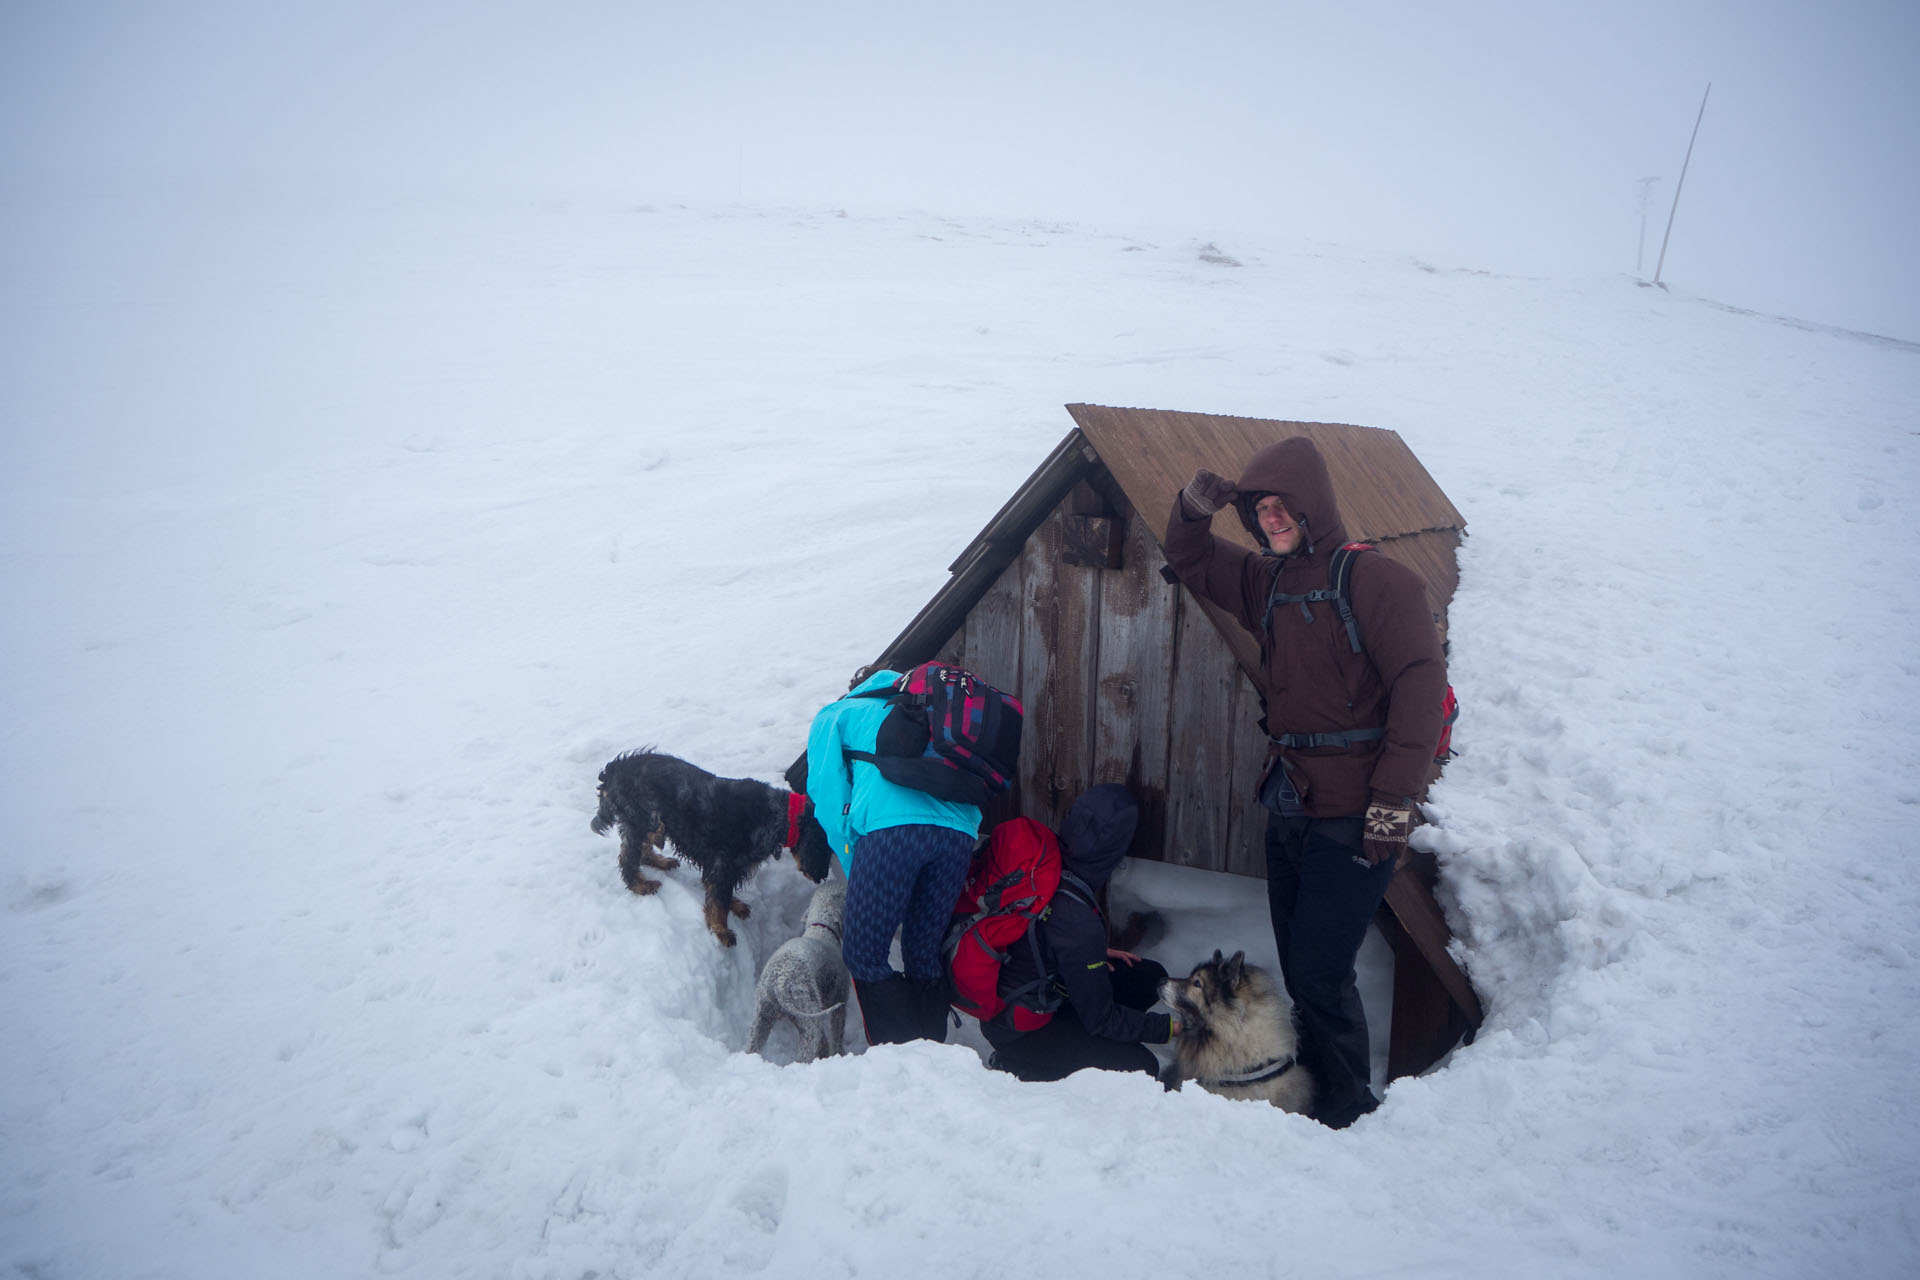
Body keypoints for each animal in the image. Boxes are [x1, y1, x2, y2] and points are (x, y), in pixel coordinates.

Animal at [583, 744, 825, 948]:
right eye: (822, 846)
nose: (821, 877)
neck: (776, 816)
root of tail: (615, 768)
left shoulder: (724, 867)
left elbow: (721, 894)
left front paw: (735, 906)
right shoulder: (723, 864)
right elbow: (718, 901)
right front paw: (721, 931)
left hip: (648, 821)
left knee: (644, 848)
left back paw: (661, 861)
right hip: (638, 820)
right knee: (628, 858)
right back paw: (640, 885)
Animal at [741, 882, 848, 1059]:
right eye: (843, 894)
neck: (822, 929)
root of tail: (779, 984)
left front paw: (824, 1051)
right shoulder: (840, 997)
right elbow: (837, 1032)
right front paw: (838, 1054)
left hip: (764, 1015)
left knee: (752, 1045)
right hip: (807, 1014)